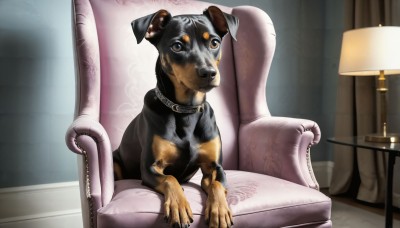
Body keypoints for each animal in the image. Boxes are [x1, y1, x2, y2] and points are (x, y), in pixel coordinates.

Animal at [111, 5, 239, 228]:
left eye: (214, 42)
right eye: (177, 46)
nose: (209, 73)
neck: (186, 109)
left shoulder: (215, 167)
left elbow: (216, 184)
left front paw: (220, 211)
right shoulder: (150, 168)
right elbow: (170, 179)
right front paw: (179, 207)